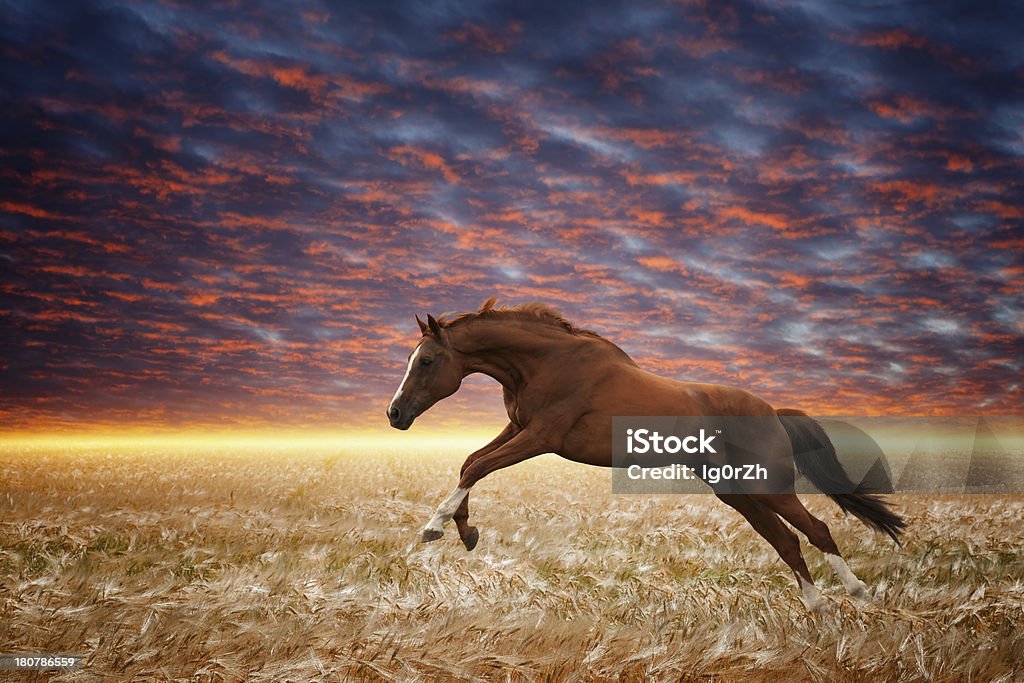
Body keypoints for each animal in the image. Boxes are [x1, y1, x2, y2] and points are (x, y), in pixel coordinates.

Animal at [385, 299, 905, 614]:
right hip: (735, 490)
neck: (547, 363)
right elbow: (469, 463)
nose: (395, 414)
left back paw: (857, 592)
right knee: (787, 541)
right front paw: (466, 531)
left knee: (816, 529)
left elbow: (476, 466)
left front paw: (436, 527)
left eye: (426, 361)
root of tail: (774, 412)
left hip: (765, 486)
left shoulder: (541, 436)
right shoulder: (518, 429)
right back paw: (816, 606)